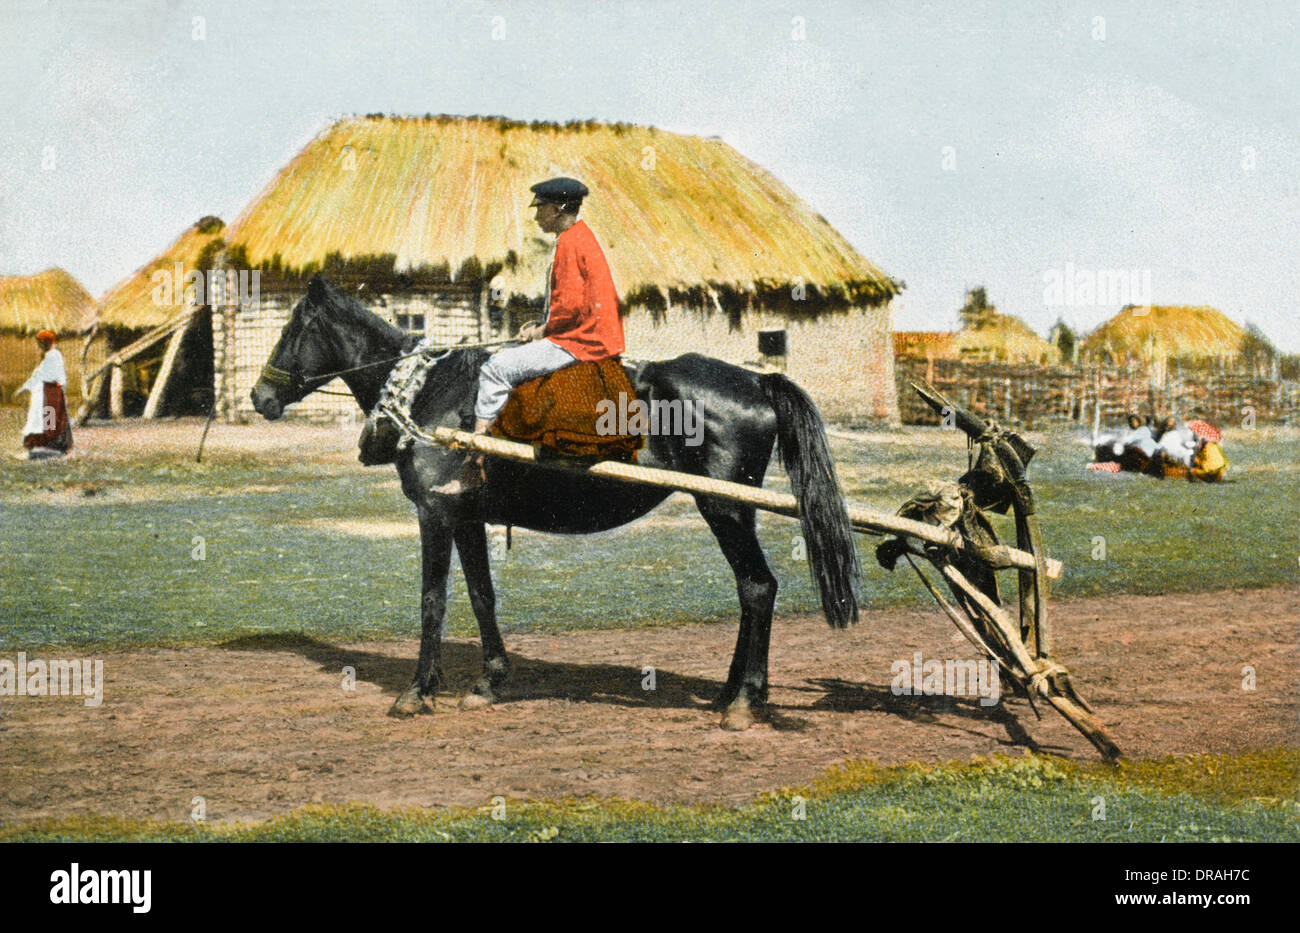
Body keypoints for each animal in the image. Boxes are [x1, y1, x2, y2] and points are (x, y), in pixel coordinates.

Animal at [250, 274, 863, 732]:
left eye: (292, 328)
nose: (260, 395)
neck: (430, 392)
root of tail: (758, 382)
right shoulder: (468, 518)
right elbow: (481, 597)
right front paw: (489, 681)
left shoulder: (436, 514)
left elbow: (432, 601)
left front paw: (418, 692)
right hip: (729, 509)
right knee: (749, 589)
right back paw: (732, 691)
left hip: (726, 510)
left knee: (758, 587)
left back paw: (743, 700)